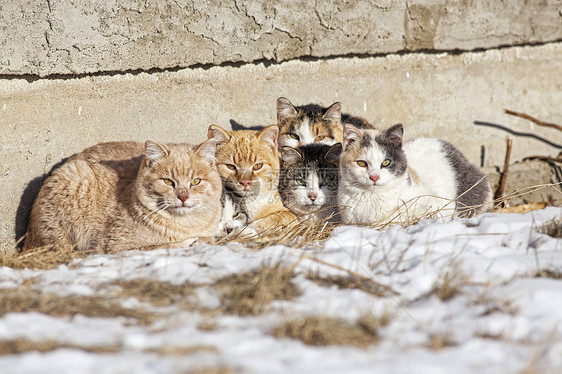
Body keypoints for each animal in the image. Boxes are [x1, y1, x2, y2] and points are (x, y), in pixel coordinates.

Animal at [23, 136, 221, 253]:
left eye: (195, 181)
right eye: (168, 181)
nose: (183, 197)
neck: (188, 224)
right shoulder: (118, 247)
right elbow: (163, 246)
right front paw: (191, 241)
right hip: (76, 178)